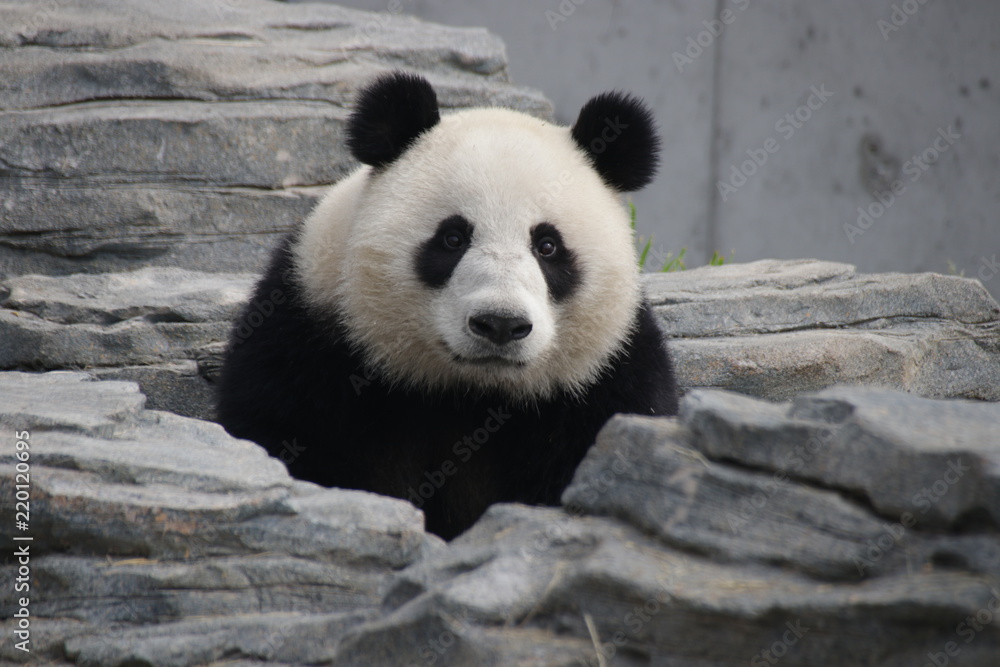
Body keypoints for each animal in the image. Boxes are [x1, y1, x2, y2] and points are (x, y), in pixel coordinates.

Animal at [217, 71, 678, 539]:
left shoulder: (604, 376)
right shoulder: (312, 337)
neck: (468, 394)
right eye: (453, 238)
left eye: (548, 246)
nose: (500, 324)